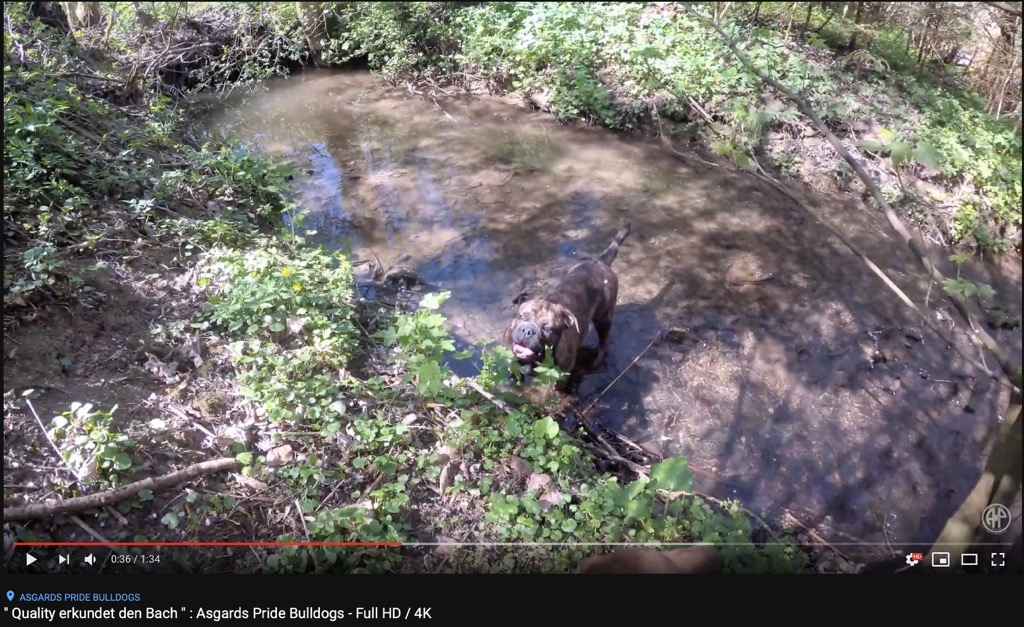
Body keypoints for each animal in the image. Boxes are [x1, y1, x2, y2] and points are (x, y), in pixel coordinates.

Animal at [503, 223, 630, 391]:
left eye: (547, 328)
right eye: (521, 316)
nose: (527, 330)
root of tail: (600, 262)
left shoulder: (562, 372)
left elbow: (558, 386)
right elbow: (515, 373)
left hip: (603, 318)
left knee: (604, 340)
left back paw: (598, 359)